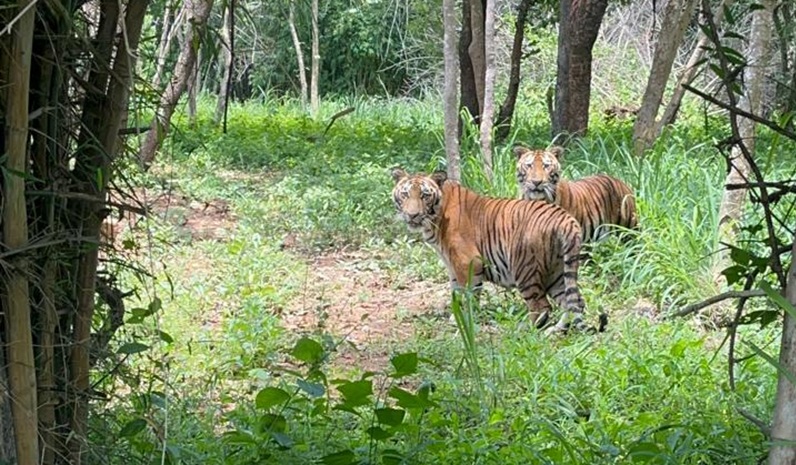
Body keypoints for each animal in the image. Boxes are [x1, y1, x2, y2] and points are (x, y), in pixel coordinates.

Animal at [391, 168, 598, 334]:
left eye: (425, 195)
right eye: (405, 194)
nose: (412, 215)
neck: (436, 218)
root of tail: (566, 218)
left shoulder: (467, 263)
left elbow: (469, 294)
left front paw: (465, 320)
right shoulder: (452, 265)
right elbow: (456, 292)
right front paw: (455, 317)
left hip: (524, 268)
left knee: (542, 307)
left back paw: (525, 330)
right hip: (557, 271)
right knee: (575, 302)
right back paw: (556, 330)